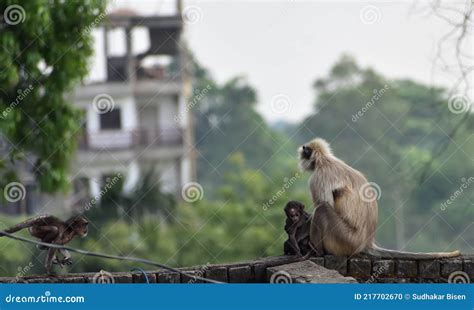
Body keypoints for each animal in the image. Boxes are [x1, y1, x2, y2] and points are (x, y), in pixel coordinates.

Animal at [300, 139, 460, 260]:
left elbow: (325, 203)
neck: (323, 160)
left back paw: (318, 252)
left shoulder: (317, 178)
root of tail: (367, 243)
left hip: (346, 240)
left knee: (322, 210)